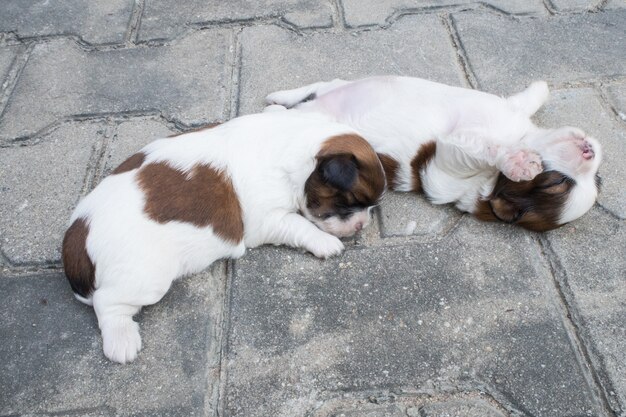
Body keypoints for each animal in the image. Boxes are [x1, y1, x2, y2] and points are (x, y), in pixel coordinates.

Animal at [64, 109, 386, 360]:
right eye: (349, 203)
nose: (362, 224)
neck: (291, 140)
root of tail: (76, 242)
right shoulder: (267, 220)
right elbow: (301, 225)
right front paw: (326, 243)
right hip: (146, 277)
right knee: (107, 302)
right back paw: (122, 340)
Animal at [264, 75, 600, 231]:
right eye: (558, 182)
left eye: (593, 181)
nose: (590, 153)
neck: (519, 135)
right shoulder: (505, 114)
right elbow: (528, 101)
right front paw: (541, 89)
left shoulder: (447, 155)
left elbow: (487, 148)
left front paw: (517, 162)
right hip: (332, 88)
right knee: (317, 85)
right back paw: (277, 97)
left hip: (314, 115)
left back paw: (275, 107)